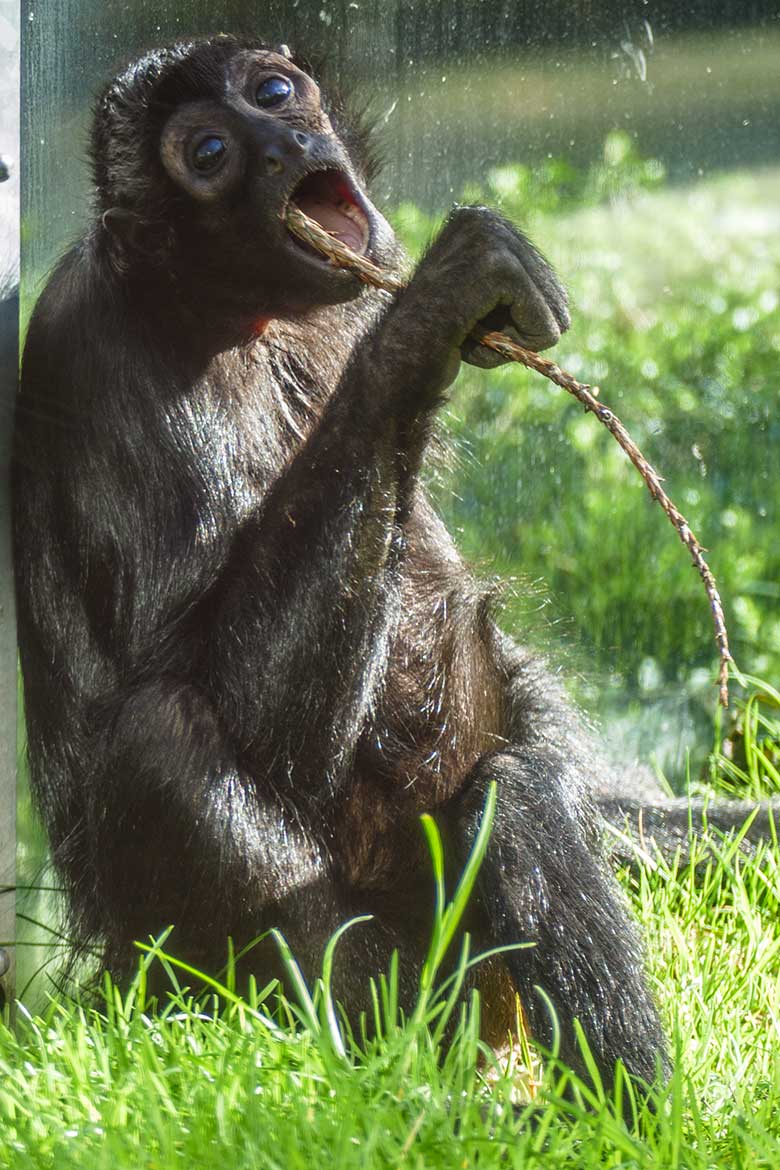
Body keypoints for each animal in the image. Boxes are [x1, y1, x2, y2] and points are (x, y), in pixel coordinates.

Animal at [22, 34, 767, 1095]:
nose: (283, 143)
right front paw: (423, 321)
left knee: (519, 787)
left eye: (274, 92)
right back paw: (429, 1082)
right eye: (208, 153)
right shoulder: (96, 346)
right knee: (161, 735)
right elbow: (219, 705)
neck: (242, 314)